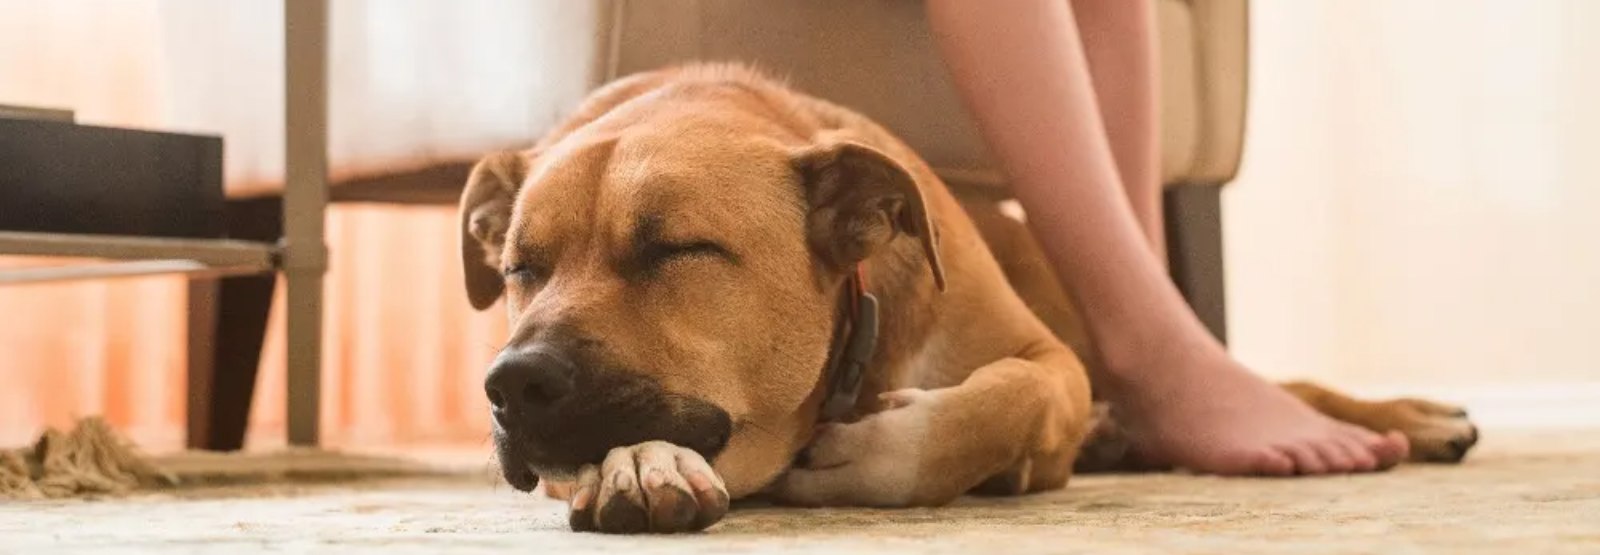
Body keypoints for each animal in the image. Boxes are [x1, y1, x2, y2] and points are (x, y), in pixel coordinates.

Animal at [457, 65, 1478, 534]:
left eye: (678, 248)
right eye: (518, 268)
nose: (512, 384)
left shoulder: (1046, 362)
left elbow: (994, 402)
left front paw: (878, 455)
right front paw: (641, 463)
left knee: (1284, 387)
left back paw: (1412, 419)